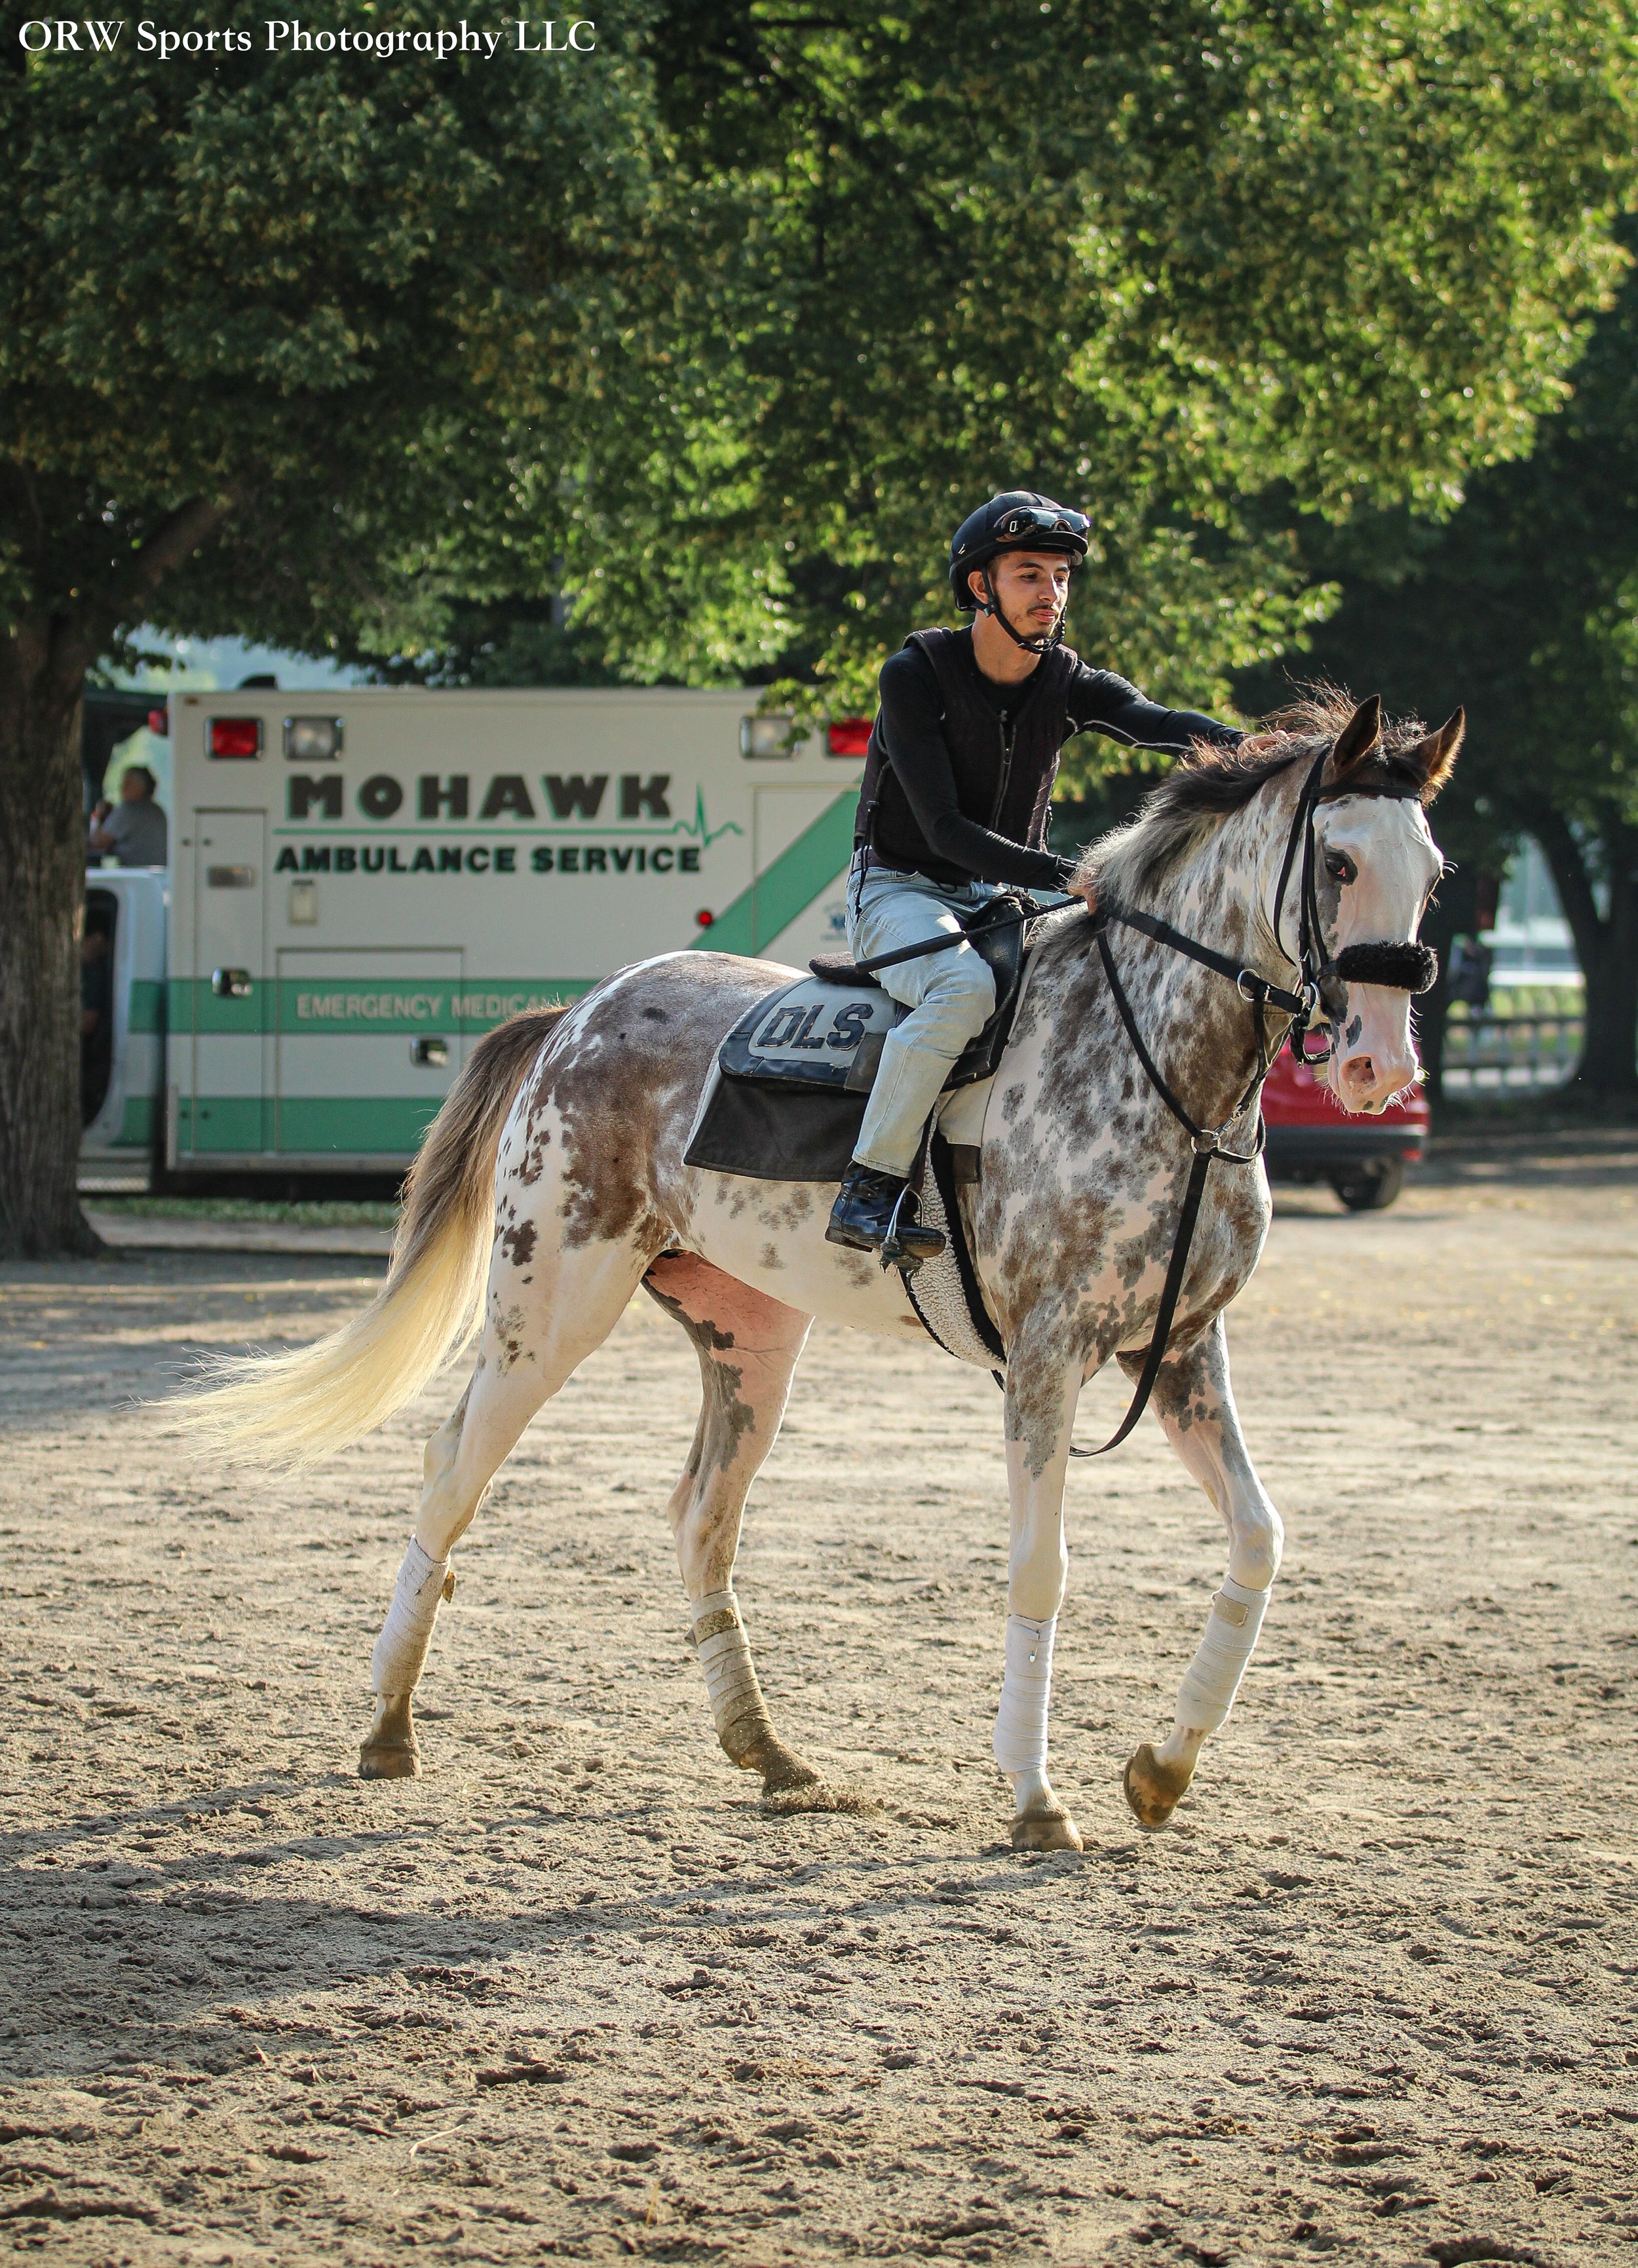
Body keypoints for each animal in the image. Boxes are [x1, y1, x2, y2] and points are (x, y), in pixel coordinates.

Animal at [180, 690, 1460, 1852]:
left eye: (1434, 870)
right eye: (1339, 859)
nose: (1377, 1065)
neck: (1151, 1060)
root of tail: (575, 1017)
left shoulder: (1183, 1352)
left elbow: (1260, 1540)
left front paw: (1162, 1767)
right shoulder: (1048, 1360)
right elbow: (1039, 1571)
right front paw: (1035, 1796)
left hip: (752, 1341)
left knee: (701, 1516)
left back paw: (769, 1752)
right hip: (548, 1311)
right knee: (454, 1473)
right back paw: (388, 1726)